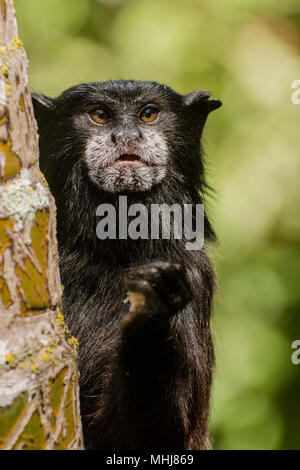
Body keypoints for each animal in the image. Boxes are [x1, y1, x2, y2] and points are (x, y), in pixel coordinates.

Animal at [31, 79, 221, 450]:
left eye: (148, 114)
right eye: (99, 114)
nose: (127, 136)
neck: (115, 251)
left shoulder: (193, 275)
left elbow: (154, 436)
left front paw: (152, 314)